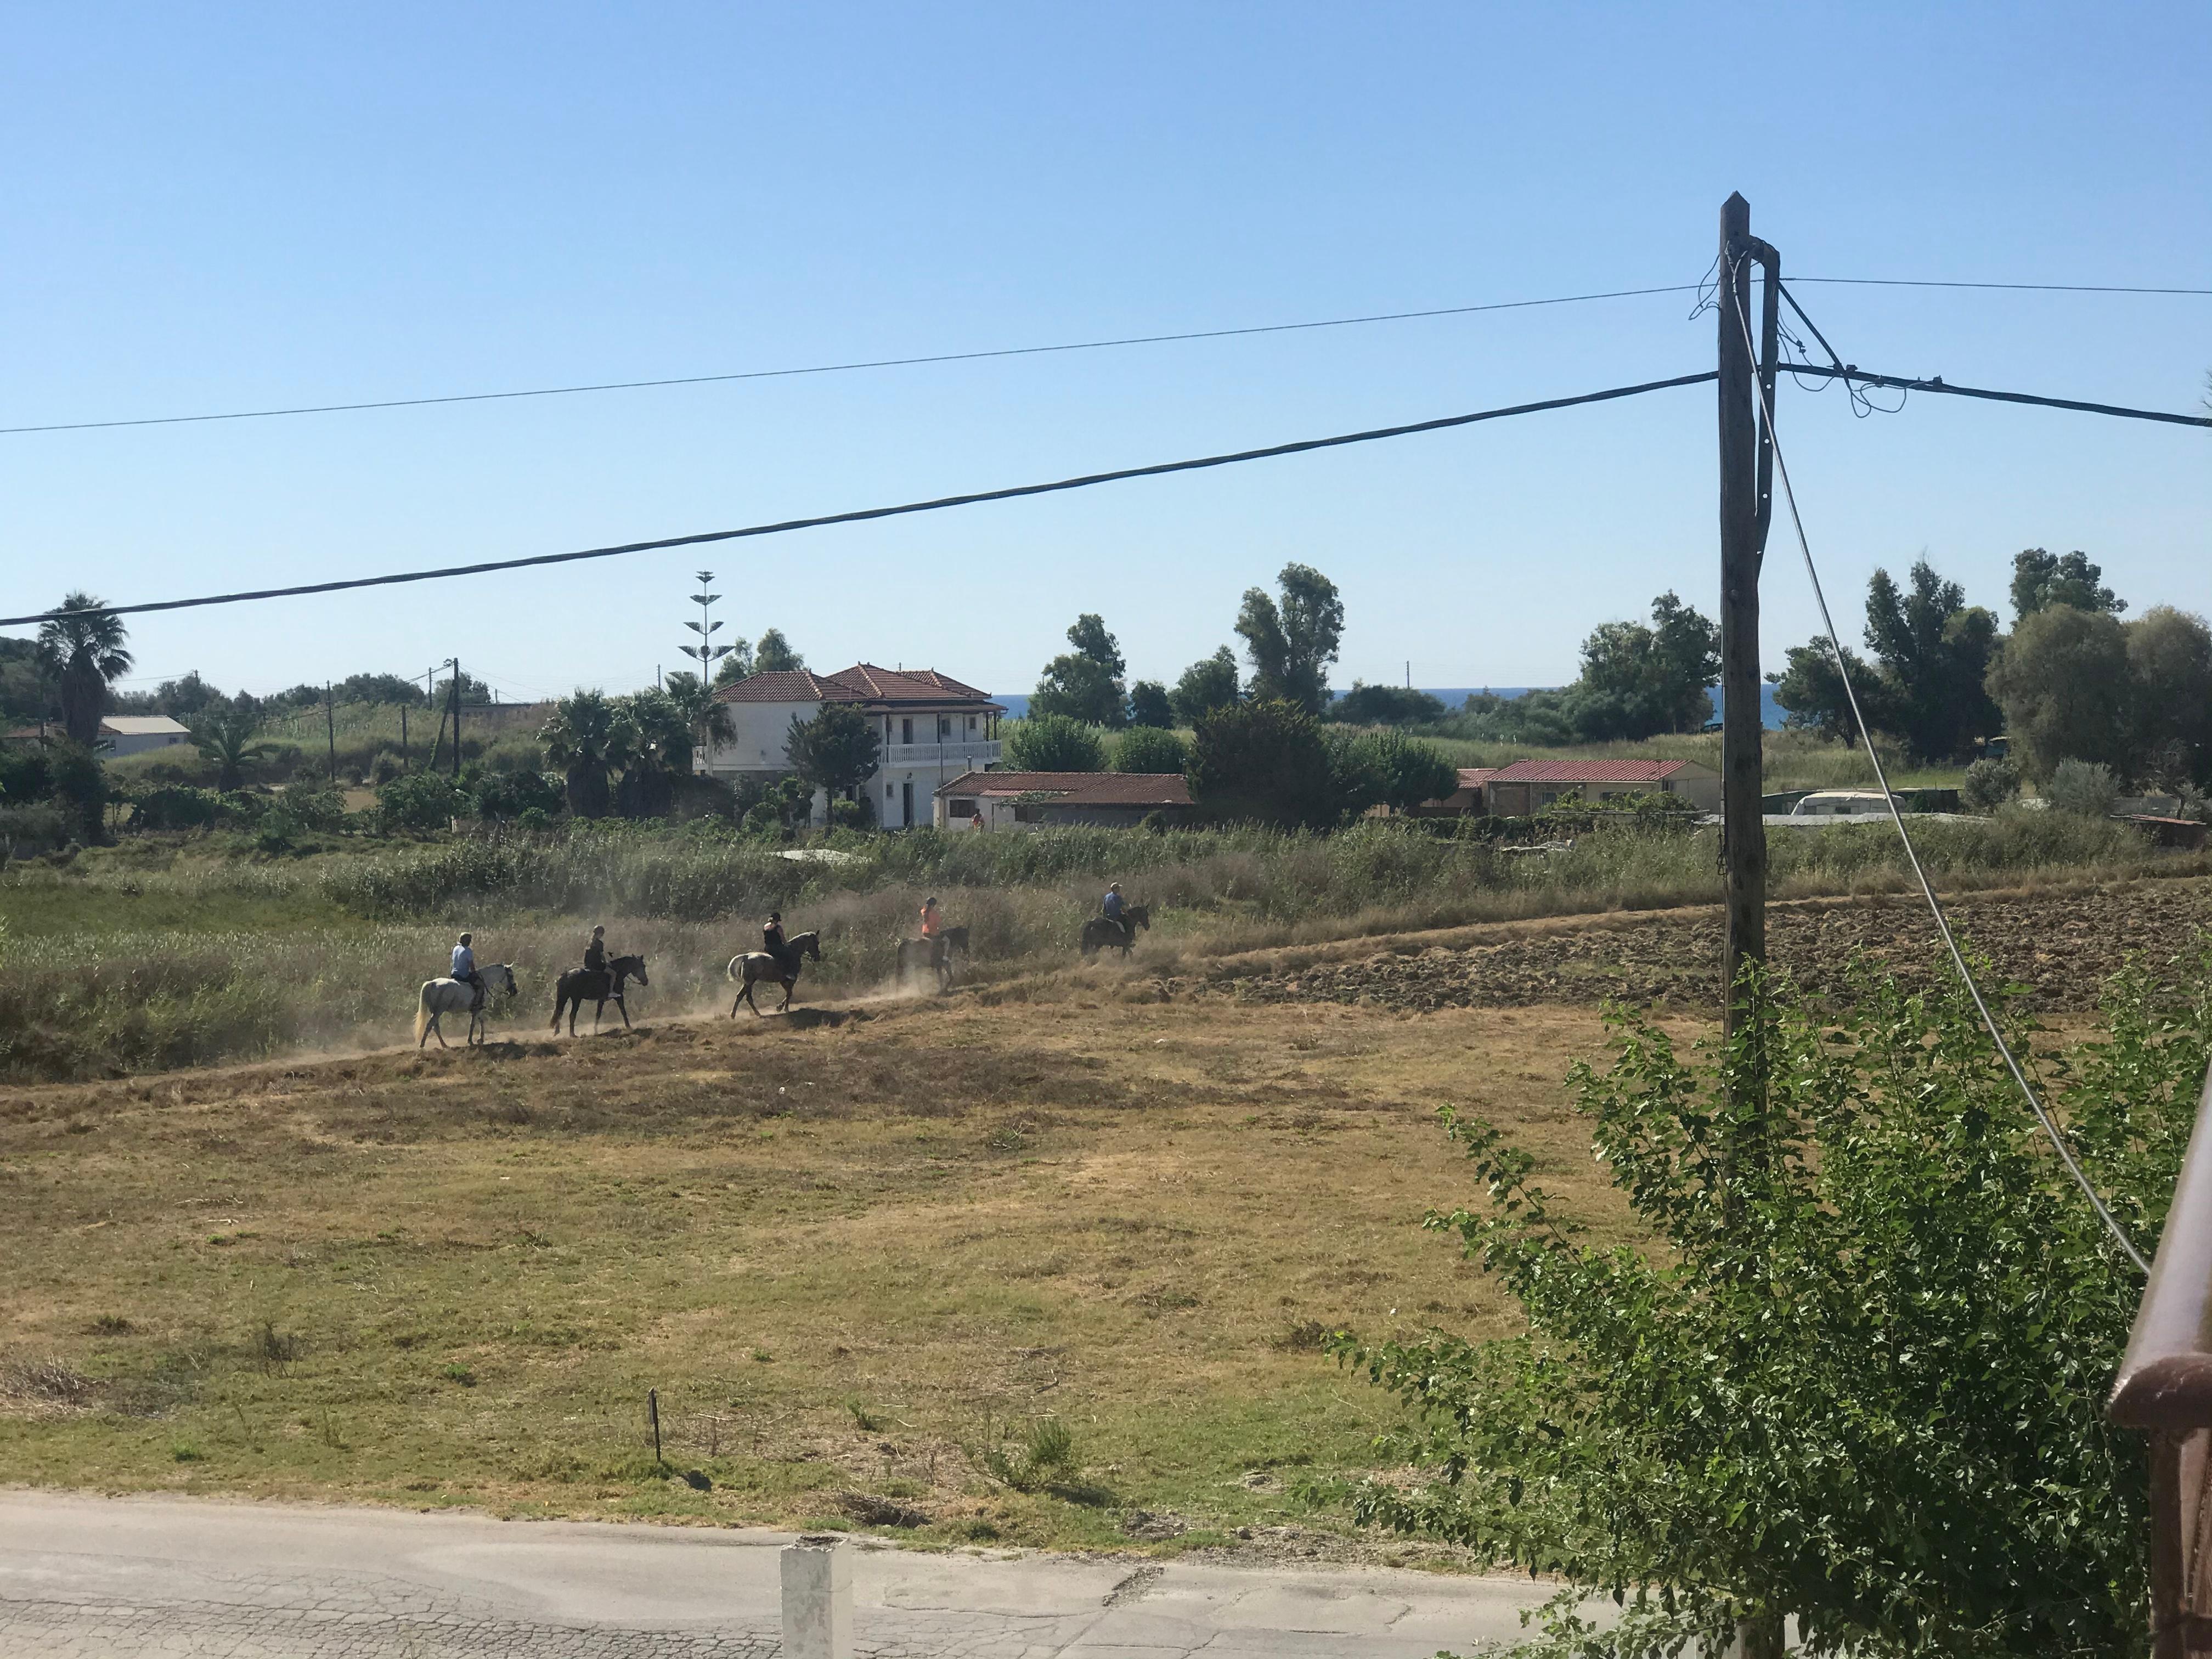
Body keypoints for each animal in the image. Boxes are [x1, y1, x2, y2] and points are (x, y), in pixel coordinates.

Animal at [416, 960, 517, 1053]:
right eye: (511, 976)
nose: (515, 991)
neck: (485, 980)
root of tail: (432, 983)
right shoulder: (476, 1010)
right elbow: (473, 1024)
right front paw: (472, 1041)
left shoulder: (477, 1010)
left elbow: (481, 1021)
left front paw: (480, 1039)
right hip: (439, 1011)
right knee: (430, 1025)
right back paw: (422, 1046)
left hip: (435, 1011)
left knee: (435, 1027)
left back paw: (444, 1045)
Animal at [548, 955, 646, 1035]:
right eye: (641, 966)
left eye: (644, 966)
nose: (646, 981)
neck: (618, 973)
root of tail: (566, 974)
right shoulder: (617, 997)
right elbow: (621, 1012)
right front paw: (629, 1028)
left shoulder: (603, 1000)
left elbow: (601, 1014)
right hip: (576, 999)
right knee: (571, 1015)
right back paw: (572, 1035)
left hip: (565, 998)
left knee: (560, 1013)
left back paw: (557, 1032)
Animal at [893, 929, 973, 995]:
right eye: (965, 937)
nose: (967, 951)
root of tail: (904, 942)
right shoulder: (941, 965)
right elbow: (943, 978)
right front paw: (942, 990)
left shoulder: (945, 965)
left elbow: (951, 977)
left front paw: (945, 989)